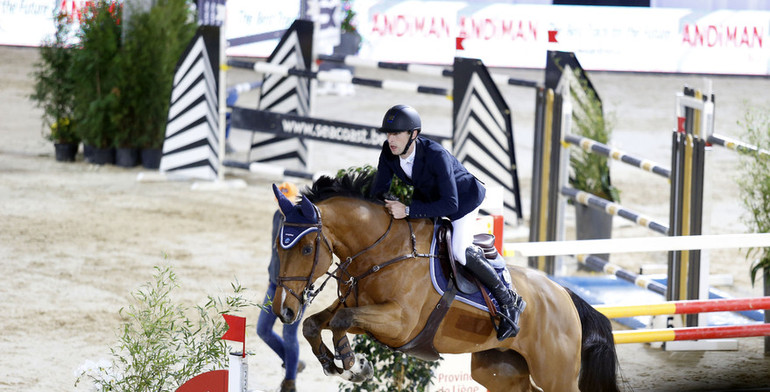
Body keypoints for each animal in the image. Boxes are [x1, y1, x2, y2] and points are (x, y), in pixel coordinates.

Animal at [270, 173, 616, 390]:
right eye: (277, 245)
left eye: (306, 248)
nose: (283, 310)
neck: (380, 251)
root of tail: (565, 295)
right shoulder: (360, 311)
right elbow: (314, 324)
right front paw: (334, 363)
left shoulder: (399, 323)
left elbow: (340, 321)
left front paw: (355, 366)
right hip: (501, 370)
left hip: (555, 375)